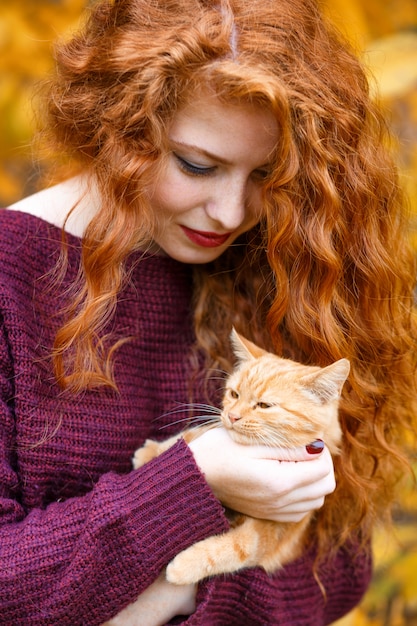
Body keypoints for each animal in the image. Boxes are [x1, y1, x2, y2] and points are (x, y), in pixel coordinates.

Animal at [132, 330, 348, 584]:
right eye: (234, 394)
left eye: (264, 405)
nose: (232, 416)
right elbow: (194, 432)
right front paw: (153, 452)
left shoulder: (273, 530)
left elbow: (238, 547)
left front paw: (185, 565)